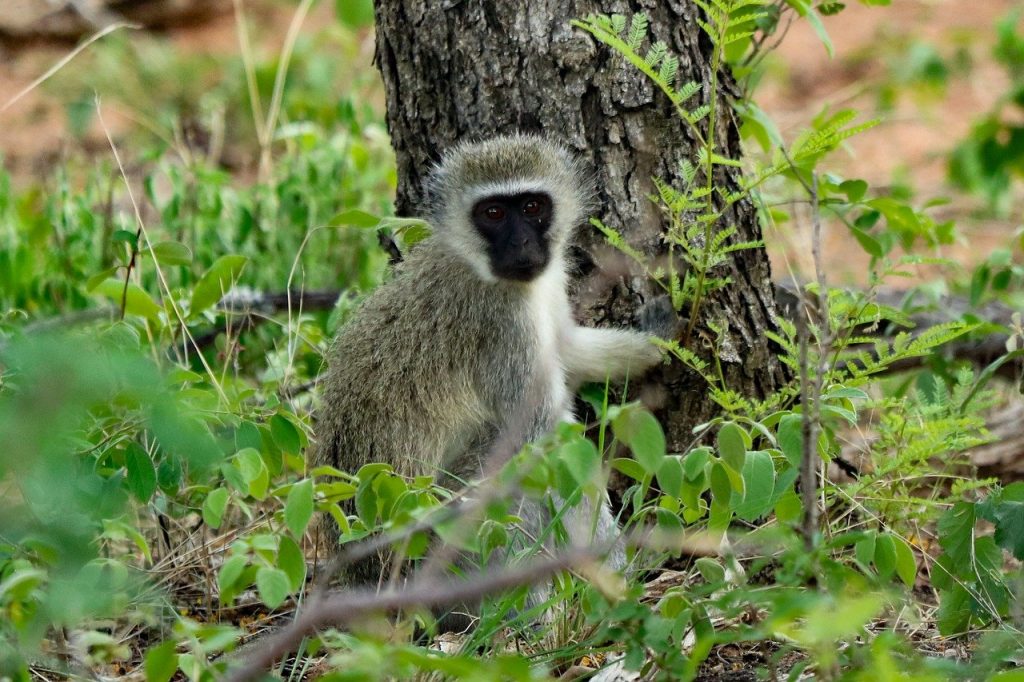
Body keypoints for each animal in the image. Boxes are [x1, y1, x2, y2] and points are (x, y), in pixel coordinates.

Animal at [312, 133, 664, 620]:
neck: (477, 265)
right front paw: (616, 569)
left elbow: (567, 347)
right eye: (493, 213)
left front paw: (655, 341)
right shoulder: (504, 326)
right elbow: (545, 441)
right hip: (437, 554)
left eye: (533, 206)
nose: (522, 246)